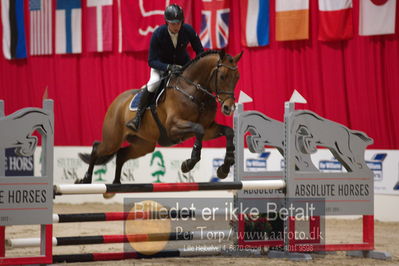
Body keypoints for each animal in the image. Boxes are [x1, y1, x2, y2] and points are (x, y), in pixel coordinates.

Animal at [76, 50, 242, 190]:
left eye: (237, 78)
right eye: (222, 76)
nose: (229, 108)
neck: (194, 92)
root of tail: (117, 102)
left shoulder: (209, 129)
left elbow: (228, 131)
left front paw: (224, 168)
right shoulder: (173, 127)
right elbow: (198, 130)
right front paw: (188, 164)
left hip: (143, 144)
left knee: (122, 154)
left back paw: (116, 184)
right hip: (113, 140)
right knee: (97, 148)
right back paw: (86, 179)